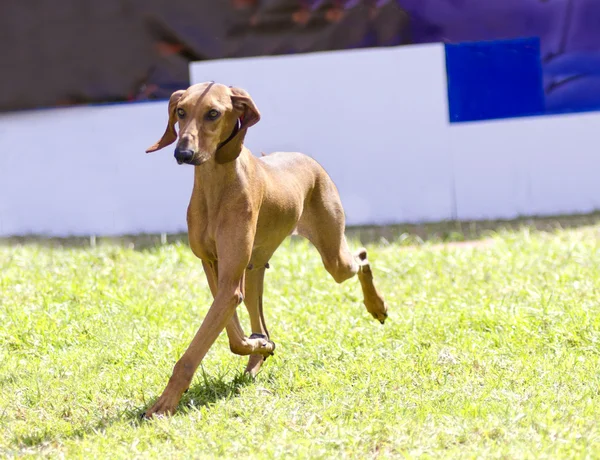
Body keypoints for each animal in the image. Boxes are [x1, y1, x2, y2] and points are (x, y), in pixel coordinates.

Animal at [145, 82, 390, 416]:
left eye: (213, 113)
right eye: (181, 111)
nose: (183, 153)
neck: (216, 184)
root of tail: (308, 159)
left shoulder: (229, 284)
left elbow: (197, 351)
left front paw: (164, 404)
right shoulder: (214, 269)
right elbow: (235, 337)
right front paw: (261, 345)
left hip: (334, 257)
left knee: (362, 257)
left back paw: (376, 305)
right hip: (254, 270)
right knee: (257, 315)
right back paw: (257, 356)